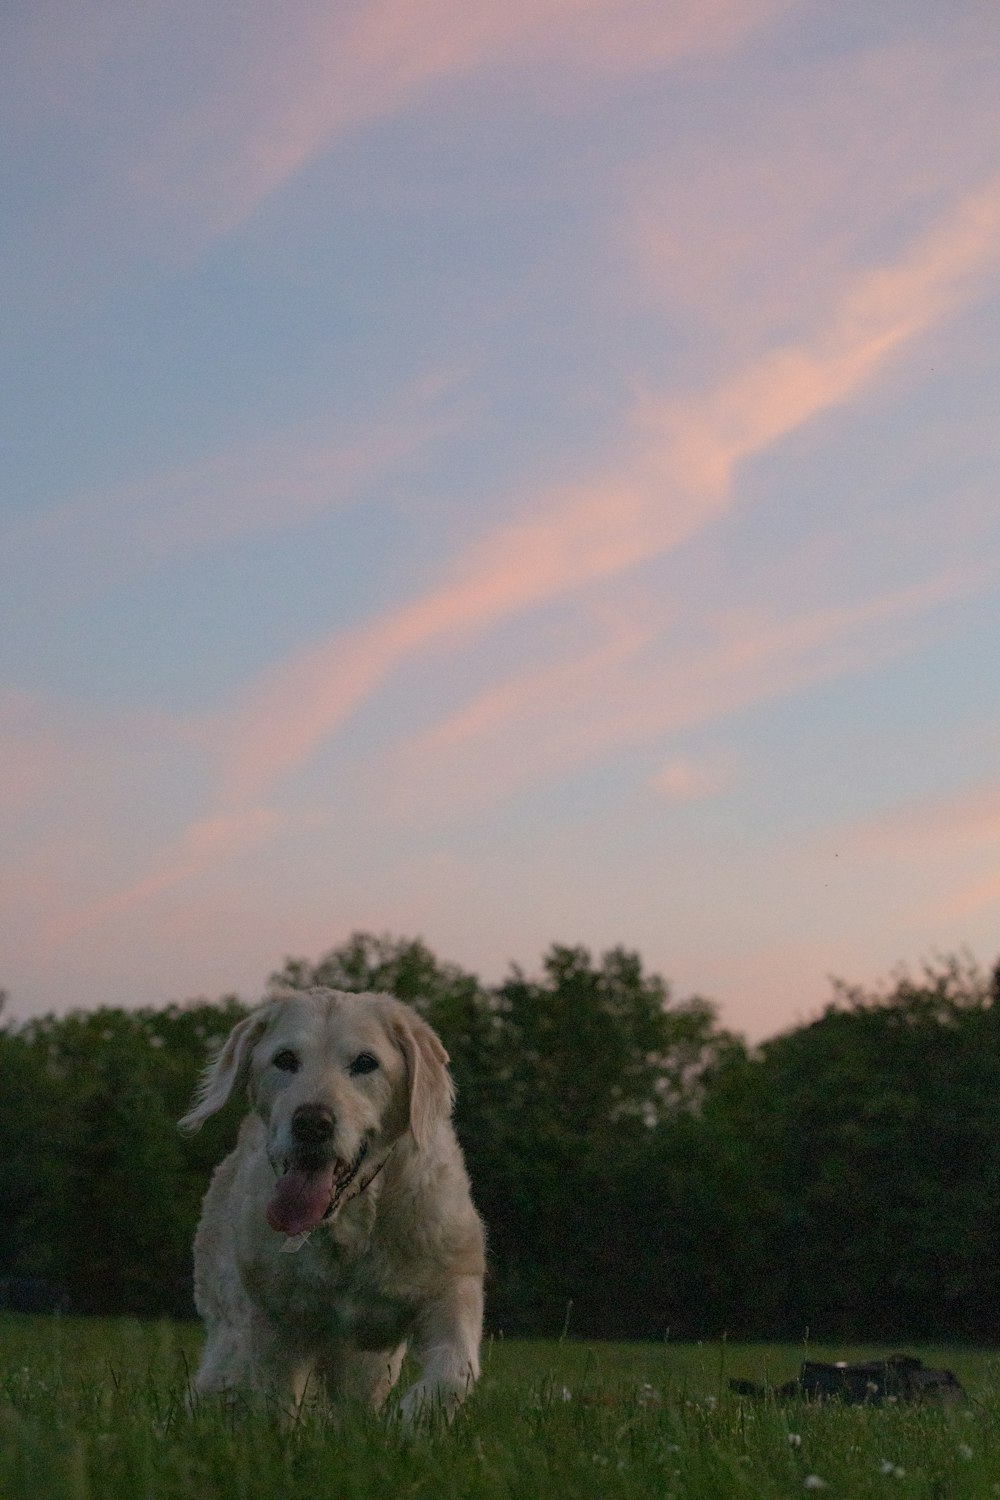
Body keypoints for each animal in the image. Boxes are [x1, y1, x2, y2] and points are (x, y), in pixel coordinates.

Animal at [182, 984, 488, 1416]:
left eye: (365, 1062)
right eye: (285, 1059)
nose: (312, 1123)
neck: (349, 1226)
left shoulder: (453, 1282)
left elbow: (453, 1371)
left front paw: (413, 1418)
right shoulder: (273, 1324)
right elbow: (273, 1401)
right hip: (231, 1332)